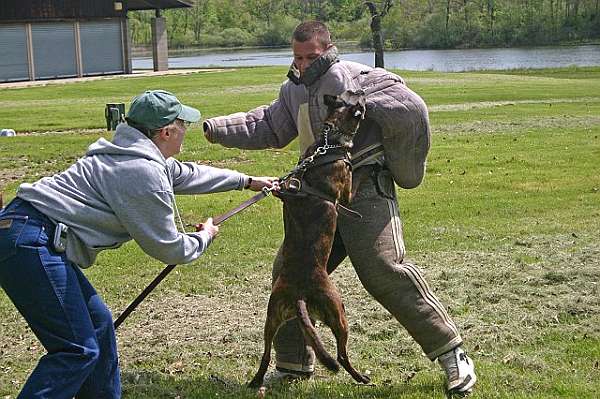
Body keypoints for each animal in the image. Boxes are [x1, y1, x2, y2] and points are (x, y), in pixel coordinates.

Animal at [247, 93, 370, 388]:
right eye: (358, 98)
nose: (364, 92)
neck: (330, 140)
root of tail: (301, 294)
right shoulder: (346, 192)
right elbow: (356, 178)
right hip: (338, 313)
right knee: (341, 355)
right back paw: (360, 377)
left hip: (272, 317)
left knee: (265, 355)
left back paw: (256, 381)